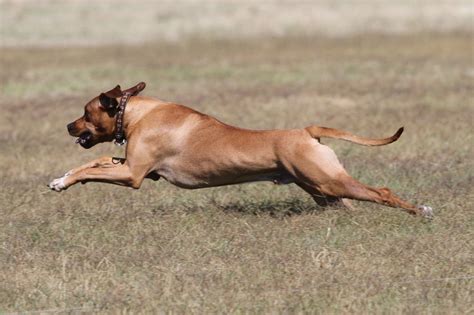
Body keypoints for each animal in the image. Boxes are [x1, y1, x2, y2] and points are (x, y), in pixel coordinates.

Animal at [49, 82, 434, 218]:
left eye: (85, 113)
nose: (67, 126)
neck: (135, 113)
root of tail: (306, 131)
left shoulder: (133, 174)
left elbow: (92, 168)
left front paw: (64, 180)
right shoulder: (131, 163)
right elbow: (94, 161)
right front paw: (62, 177)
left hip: (327, 181)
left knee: (380, 192)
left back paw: (420, 210)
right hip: (319, 187)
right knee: (348, 204)